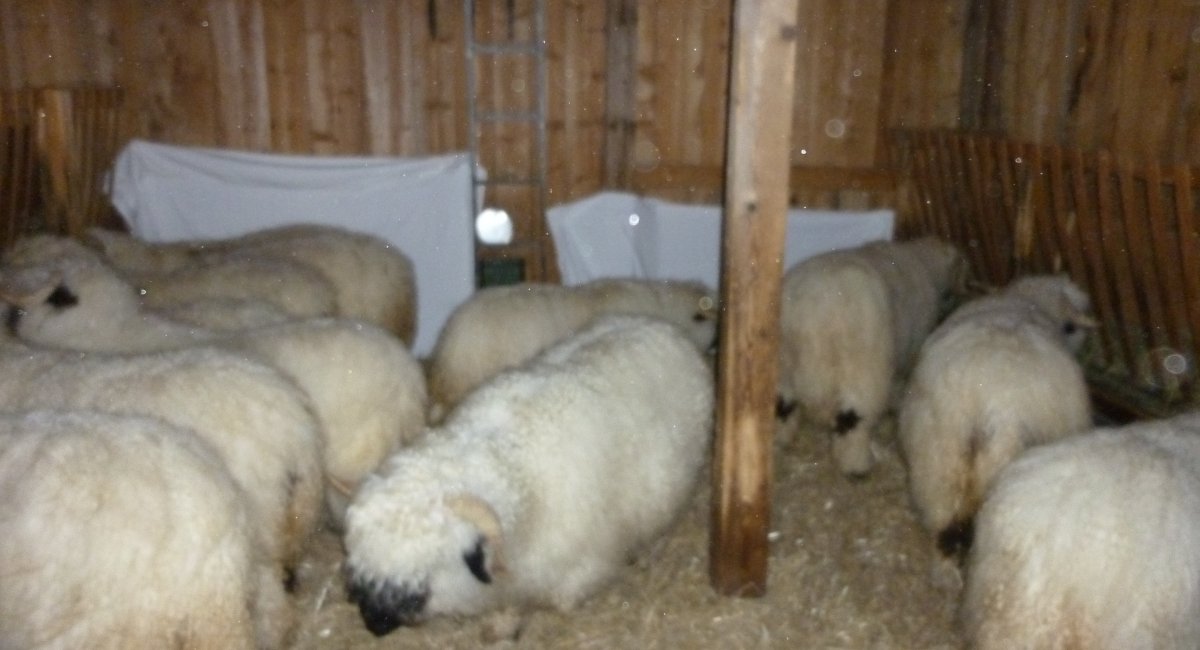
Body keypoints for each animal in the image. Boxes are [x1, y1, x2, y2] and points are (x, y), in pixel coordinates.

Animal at [342, 314, 714, 636]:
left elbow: (560, 602)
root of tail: (658, 324)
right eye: (364, 569)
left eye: (425, 569)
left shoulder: (578, 570)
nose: (374, 623)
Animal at [776, 236, 967, 478]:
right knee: (852, 422)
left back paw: (778, 443)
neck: (924, 264)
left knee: (782, 408)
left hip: (782, 367)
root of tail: (806, 314)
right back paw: (856, 466)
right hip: (861, 372)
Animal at [896, 274, 1097, 589]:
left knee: (944, 528)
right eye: (1071, 328)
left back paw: (945, 577)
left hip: (937, 462)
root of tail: (995, 409)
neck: (1029, 300)